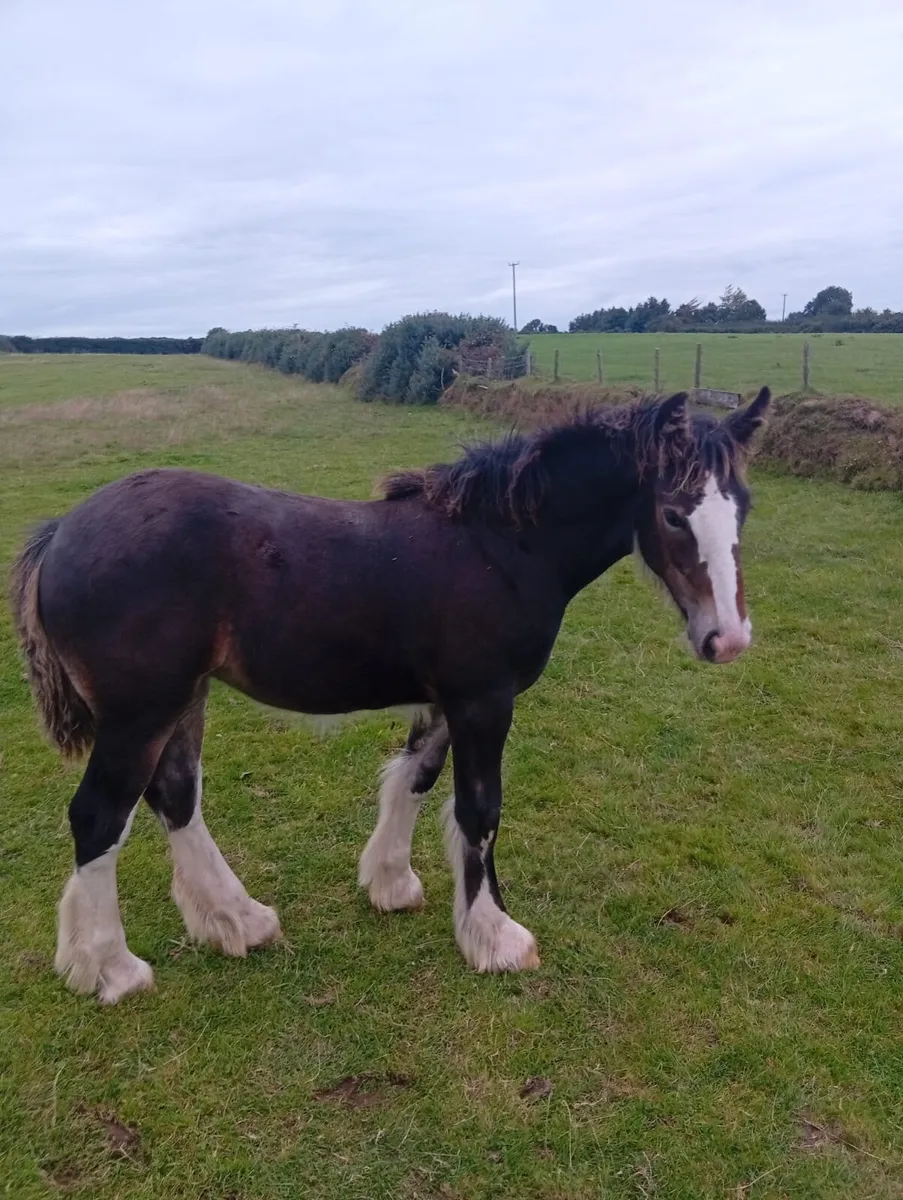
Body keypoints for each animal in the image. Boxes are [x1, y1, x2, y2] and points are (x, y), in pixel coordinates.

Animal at [10, 387, 770, 1003]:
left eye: (742, 506)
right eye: (672, 515)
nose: (727, 639)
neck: (504, 547)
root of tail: (60, 534)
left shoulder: (445, 701)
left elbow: (413, 779)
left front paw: (391, 884)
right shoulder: (484, 700)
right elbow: (478, 811)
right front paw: (495, 937)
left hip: (183, 699)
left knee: (175, 799)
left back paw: (238, 921)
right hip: (139, 715)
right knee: (98, 819)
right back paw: (109, 969)